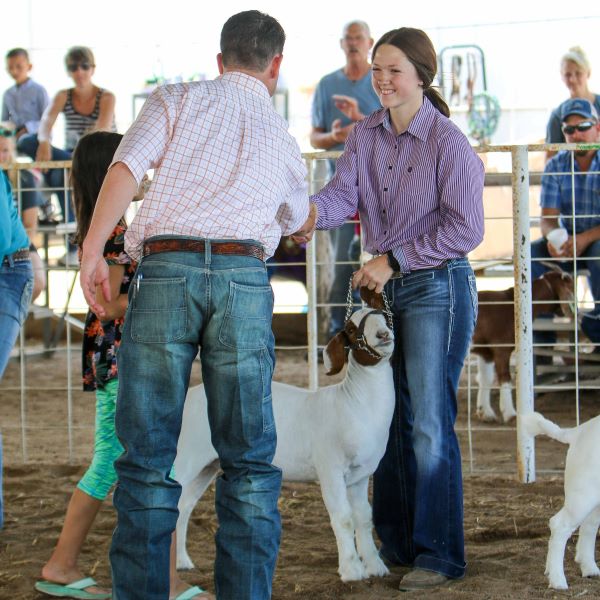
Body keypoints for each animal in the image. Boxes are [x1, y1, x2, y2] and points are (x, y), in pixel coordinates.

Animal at [472, 272, 576, 422]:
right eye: (571, 286)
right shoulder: (501, 347)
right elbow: (505, 377)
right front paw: (510, 414)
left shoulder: (485, 352)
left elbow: (486, 378)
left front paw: (485, 412)